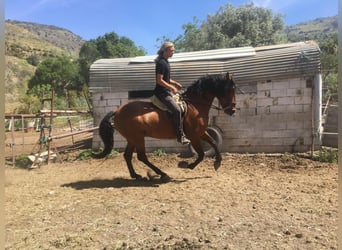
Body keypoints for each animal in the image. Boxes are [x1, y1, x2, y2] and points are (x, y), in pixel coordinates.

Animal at [95, 73, 236, 181]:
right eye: (230, 89)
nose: (232, 110)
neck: (195, 105)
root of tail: (117, 111)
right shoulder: (194, 136)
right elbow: (201, 154)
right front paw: (187, 165)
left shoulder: (201, 132)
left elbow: (213, 143)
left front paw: (217, 162)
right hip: (137, 138)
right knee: (141, 157)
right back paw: (162, 174)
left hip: (132, 138)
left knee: (127, 156)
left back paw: (136, 175)